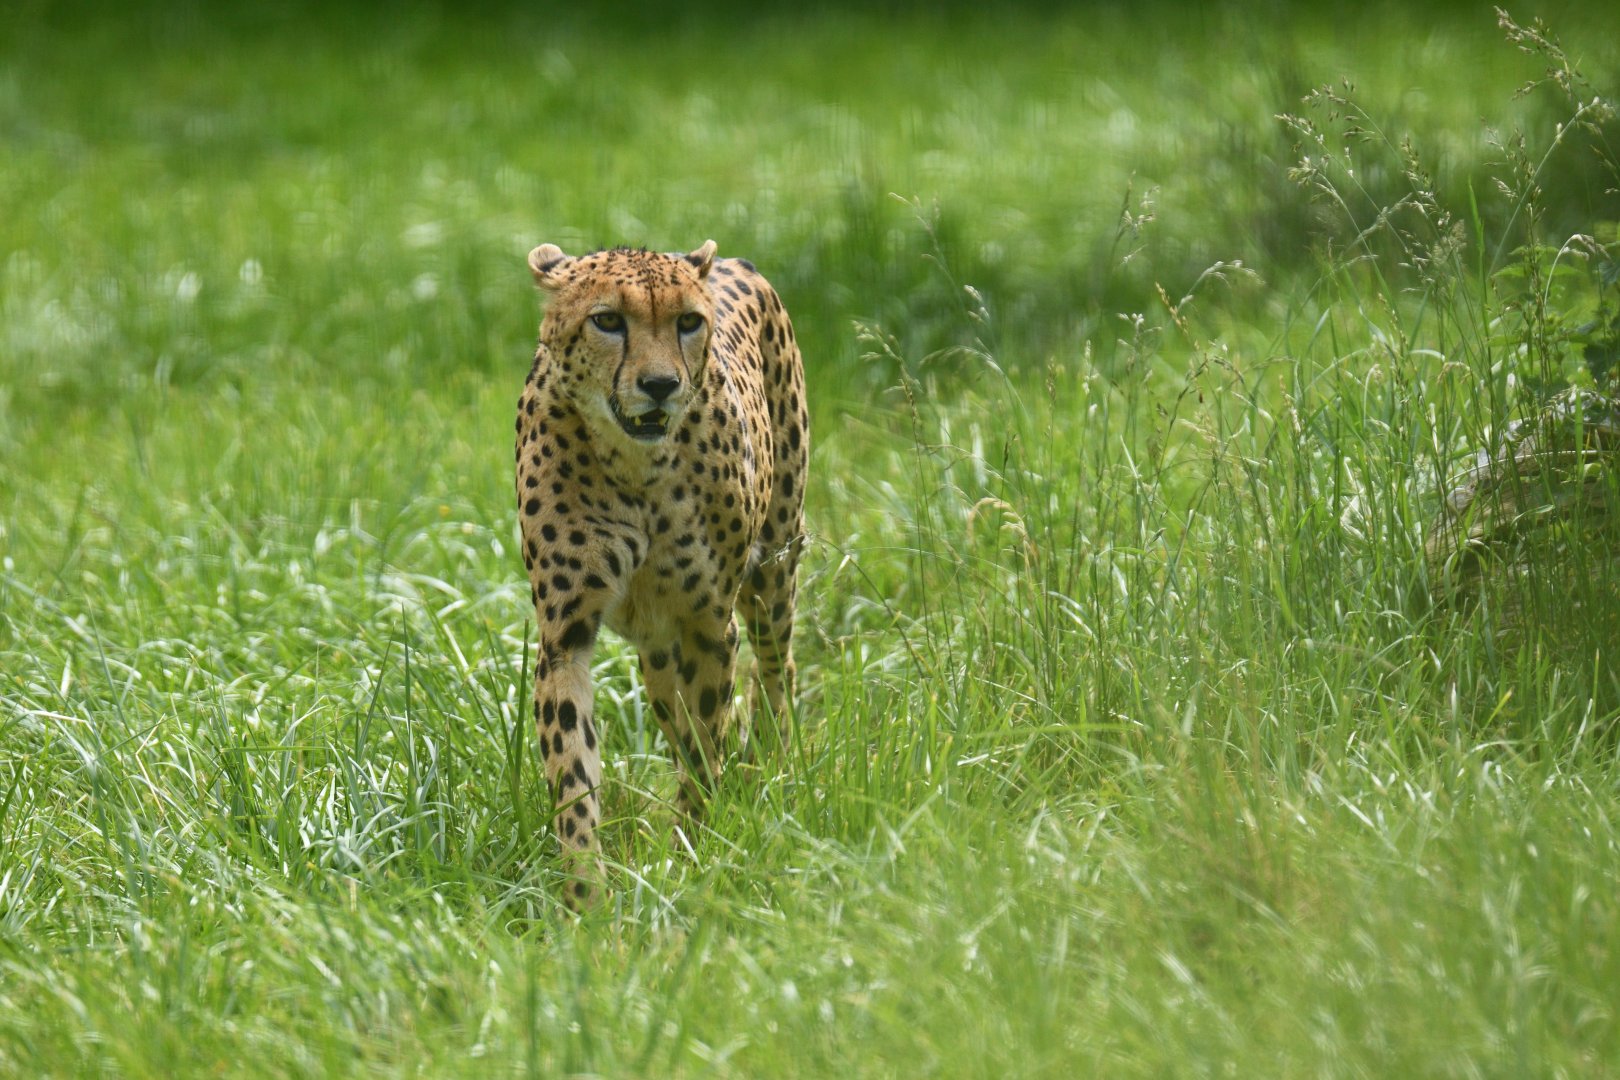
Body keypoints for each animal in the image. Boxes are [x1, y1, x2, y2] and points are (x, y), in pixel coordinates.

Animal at [514, 239, 808, 910]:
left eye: (687, 322)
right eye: (607, 320)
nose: (660, 385)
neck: (636, 467)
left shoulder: (709, 625)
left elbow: (704, 751)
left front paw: (692, 853)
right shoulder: (564, 637)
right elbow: (573, 772)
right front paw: (586, 897)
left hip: (774, 569)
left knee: (776, 668)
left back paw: (773, 764)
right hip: (656, 649)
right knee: (673, 712)